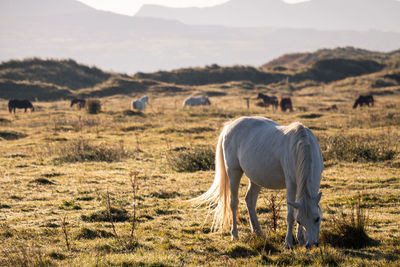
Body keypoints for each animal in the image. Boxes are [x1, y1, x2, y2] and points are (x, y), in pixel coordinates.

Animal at [192, 116, 324, 250]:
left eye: (317, 219)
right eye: (300, 221)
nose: (311, 244)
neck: (301, 145)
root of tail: (229, 126)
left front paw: (300, 239)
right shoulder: (291, 183)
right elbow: (290, 214)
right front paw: (288, 243)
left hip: (255, 178)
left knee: (250, 200)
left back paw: (257, 232)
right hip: (233, 171)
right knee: (233, 203)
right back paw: (235, 235)